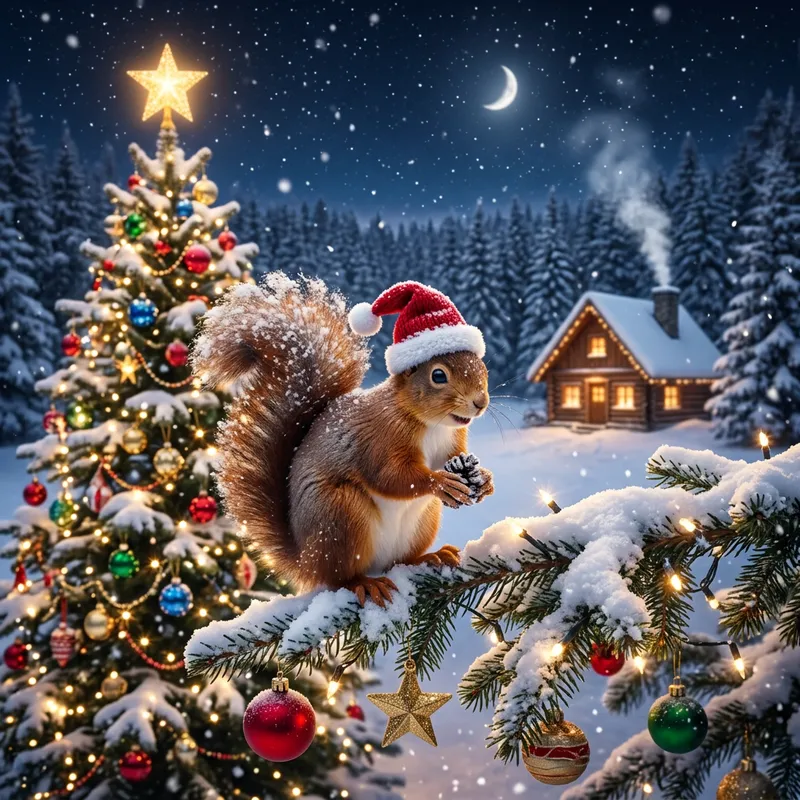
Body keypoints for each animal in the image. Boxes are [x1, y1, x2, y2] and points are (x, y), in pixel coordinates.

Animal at [192, 274, 494, 607]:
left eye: (482, 366)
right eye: (438, 376)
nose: (480, 402)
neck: (432, 424)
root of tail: (305, 560)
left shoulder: (452, 442)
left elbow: (455, 457)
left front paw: (482, 479)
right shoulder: (380, 438)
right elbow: (391, 477)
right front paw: (441, 483)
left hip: (422, 522)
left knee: (399, 562)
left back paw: (431, 557)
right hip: (341, 516)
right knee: (340, 578)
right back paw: (366, 584)